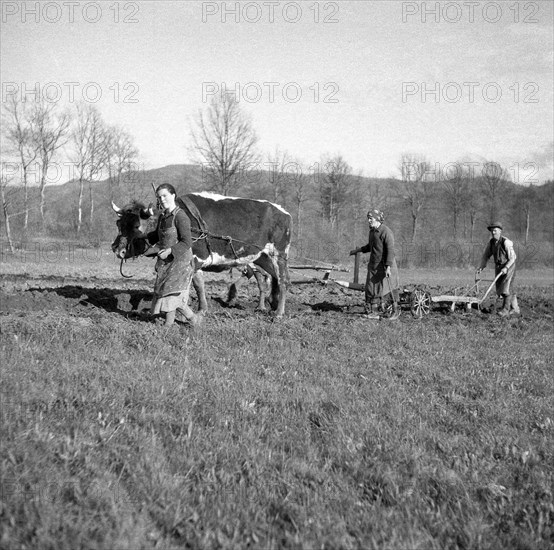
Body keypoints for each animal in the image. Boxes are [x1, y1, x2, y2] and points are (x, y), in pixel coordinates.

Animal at [112, 192, 294, 320]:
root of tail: (284, 213)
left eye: (136, 226)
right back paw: (270, 304)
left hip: (279, 254)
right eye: (119, 223)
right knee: (273, 278)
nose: (116, 249)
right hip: (262, 257)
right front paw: (202, 309)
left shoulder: (196, 258)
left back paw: (278, 313)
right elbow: (199, 285)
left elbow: (194, 285)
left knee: (283, 280)